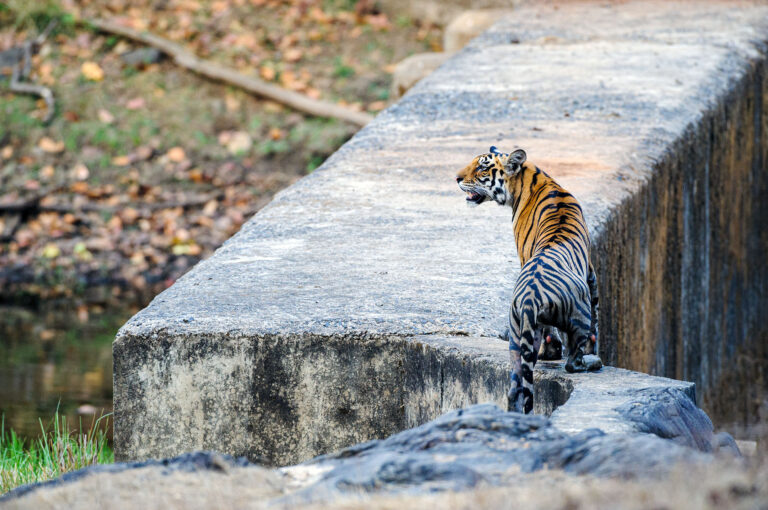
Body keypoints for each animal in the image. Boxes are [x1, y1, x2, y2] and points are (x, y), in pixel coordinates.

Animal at [456, 146, 600, 414]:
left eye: (481, 167)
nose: (457, 178)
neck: (534, 178)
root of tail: (530, 297)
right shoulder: (590, 273)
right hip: (578, 315)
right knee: (572, 361)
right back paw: (591, 362)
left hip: (515, 334)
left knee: (515, 387)